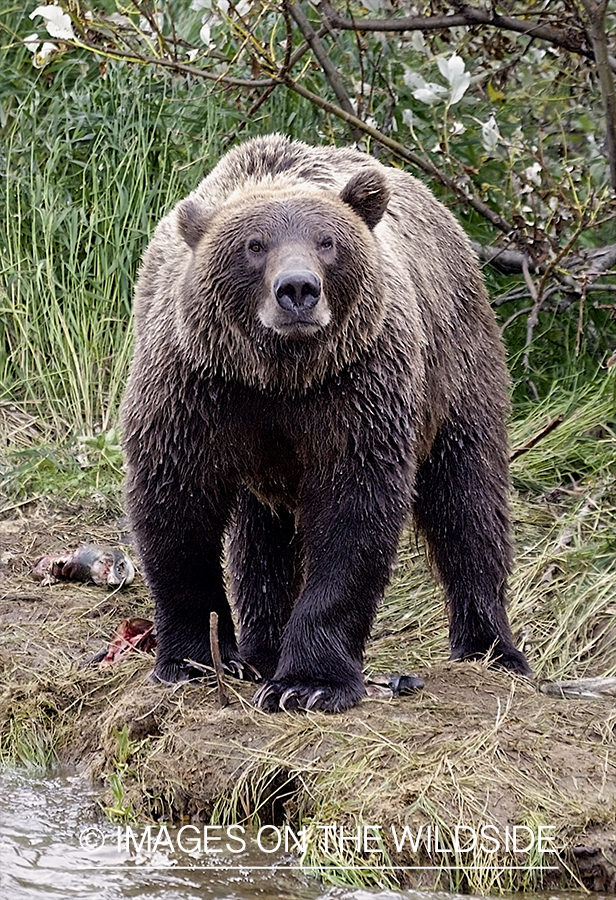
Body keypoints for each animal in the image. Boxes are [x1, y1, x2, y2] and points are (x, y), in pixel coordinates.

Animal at [121, 133, 531, 713]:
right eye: (254, 245)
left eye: (327, 241)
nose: (297, 289)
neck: (281, 375)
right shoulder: (201, 390)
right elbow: (176, 506)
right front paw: (191, 660)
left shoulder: (356, 392)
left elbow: (353, 517)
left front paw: (309, 682)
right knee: (261, 539)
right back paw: (261, 648)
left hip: (456, 368)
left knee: (468, 497)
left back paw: (491, 646)